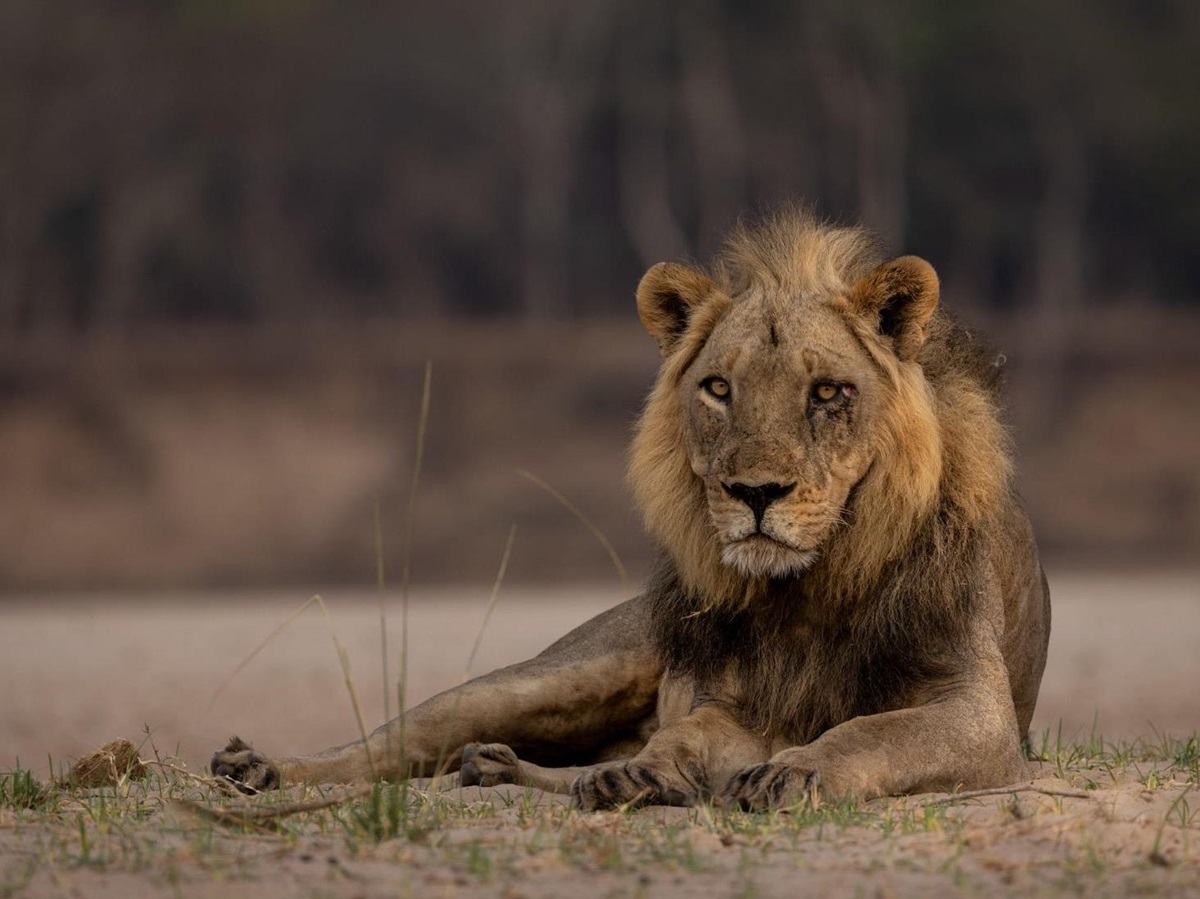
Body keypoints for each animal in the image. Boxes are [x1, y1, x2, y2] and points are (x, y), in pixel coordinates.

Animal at [212, 208, 1050, 810]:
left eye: (826, 392)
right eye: (719, 388)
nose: (755, 493)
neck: (807, 591)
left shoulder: (976, 711)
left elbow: (868, 731)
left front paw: (793, 772)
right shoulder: (730, 701)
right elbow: (687, 733)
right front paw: (655, 771)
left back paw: (503, 768)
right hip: (553, 676)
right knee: (391, 745)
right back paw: (261, 768)